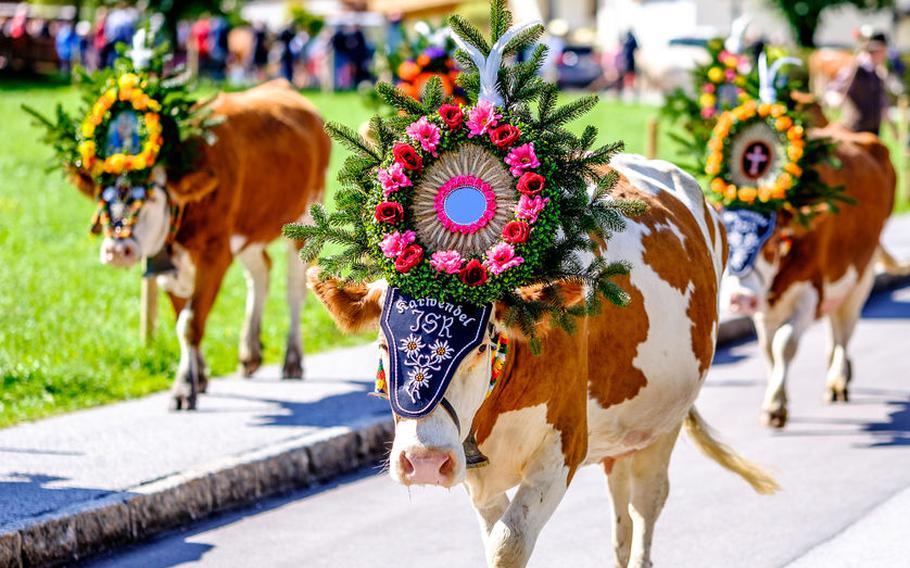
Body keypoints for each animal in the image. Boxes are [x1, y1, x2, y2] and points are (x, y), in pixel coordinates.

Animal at [67, 80, 332, 408]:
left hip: (307, 219)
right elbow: (182, 319)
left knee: (295, 290)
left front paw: (184, 387)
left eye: (150, 198)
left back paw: (292, 359)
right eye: (102, 199)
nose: (117, 250)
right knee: (261, 271)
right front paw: (199, 375)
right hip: (249, 230)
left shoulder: (215, 254)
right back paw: (250, 353)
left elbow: (191, 323)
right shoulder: (169, 264)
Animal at [306, 153, 776, 564]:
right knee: (621, 515)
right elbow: (495, 537)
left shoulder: (562, 448)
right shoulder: (475, 470)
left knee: (646, 504)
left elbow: (508, 545)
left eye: (482, 345)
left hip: (663, 422)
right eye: (384, 346)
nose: (424, 462)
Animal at [720, 103, 904, 430]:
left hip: (862, 274)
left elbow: (784, 345)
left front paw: (775, 407)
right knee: (835, 324)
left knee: (845, 327)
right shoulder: (764, 305)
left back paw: (838, 380)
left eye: (772, 241)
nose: (739, 298)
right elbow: (767, 349)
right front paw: (776, 396)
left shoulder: (809, 291)